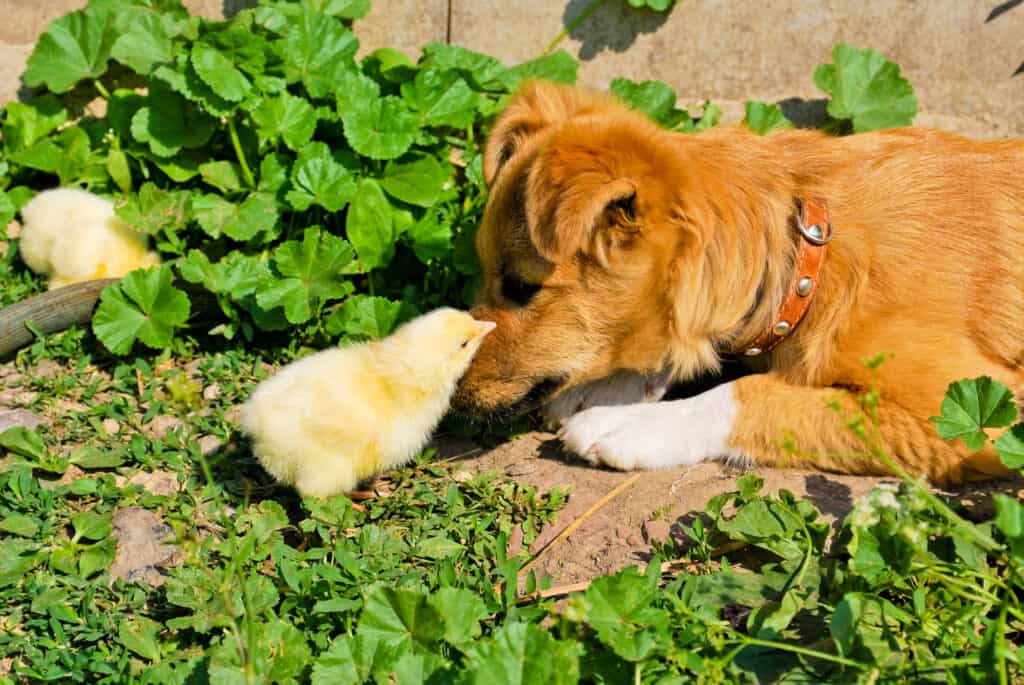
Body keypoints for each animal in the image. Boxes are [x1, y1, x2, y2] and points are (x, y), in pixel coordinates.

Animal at [454, 78, 1024, 481]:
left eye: (521, 286)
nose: (452, 395)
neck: (810, 257)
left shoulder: (973, 414)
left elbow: (752, 394)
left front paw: (627, 423)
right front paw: (606, 388)